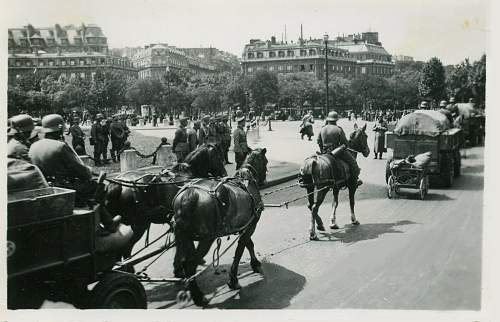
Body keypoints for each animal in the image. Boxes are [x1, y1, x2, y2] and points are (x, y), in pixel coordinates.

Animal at [172, 147, 268, 306]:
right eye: (266, 161)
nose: (264, 180)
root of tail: (189, 195)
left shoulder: (244, 226)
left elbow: (248, 244)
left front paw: (254, 263)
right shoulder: (251, 225)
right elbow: (241, 249)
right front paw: (234, 279)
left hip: (183, 237)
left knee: (184, 261)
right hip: (206, 239)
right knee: (190, 264)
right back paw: (198, 297)